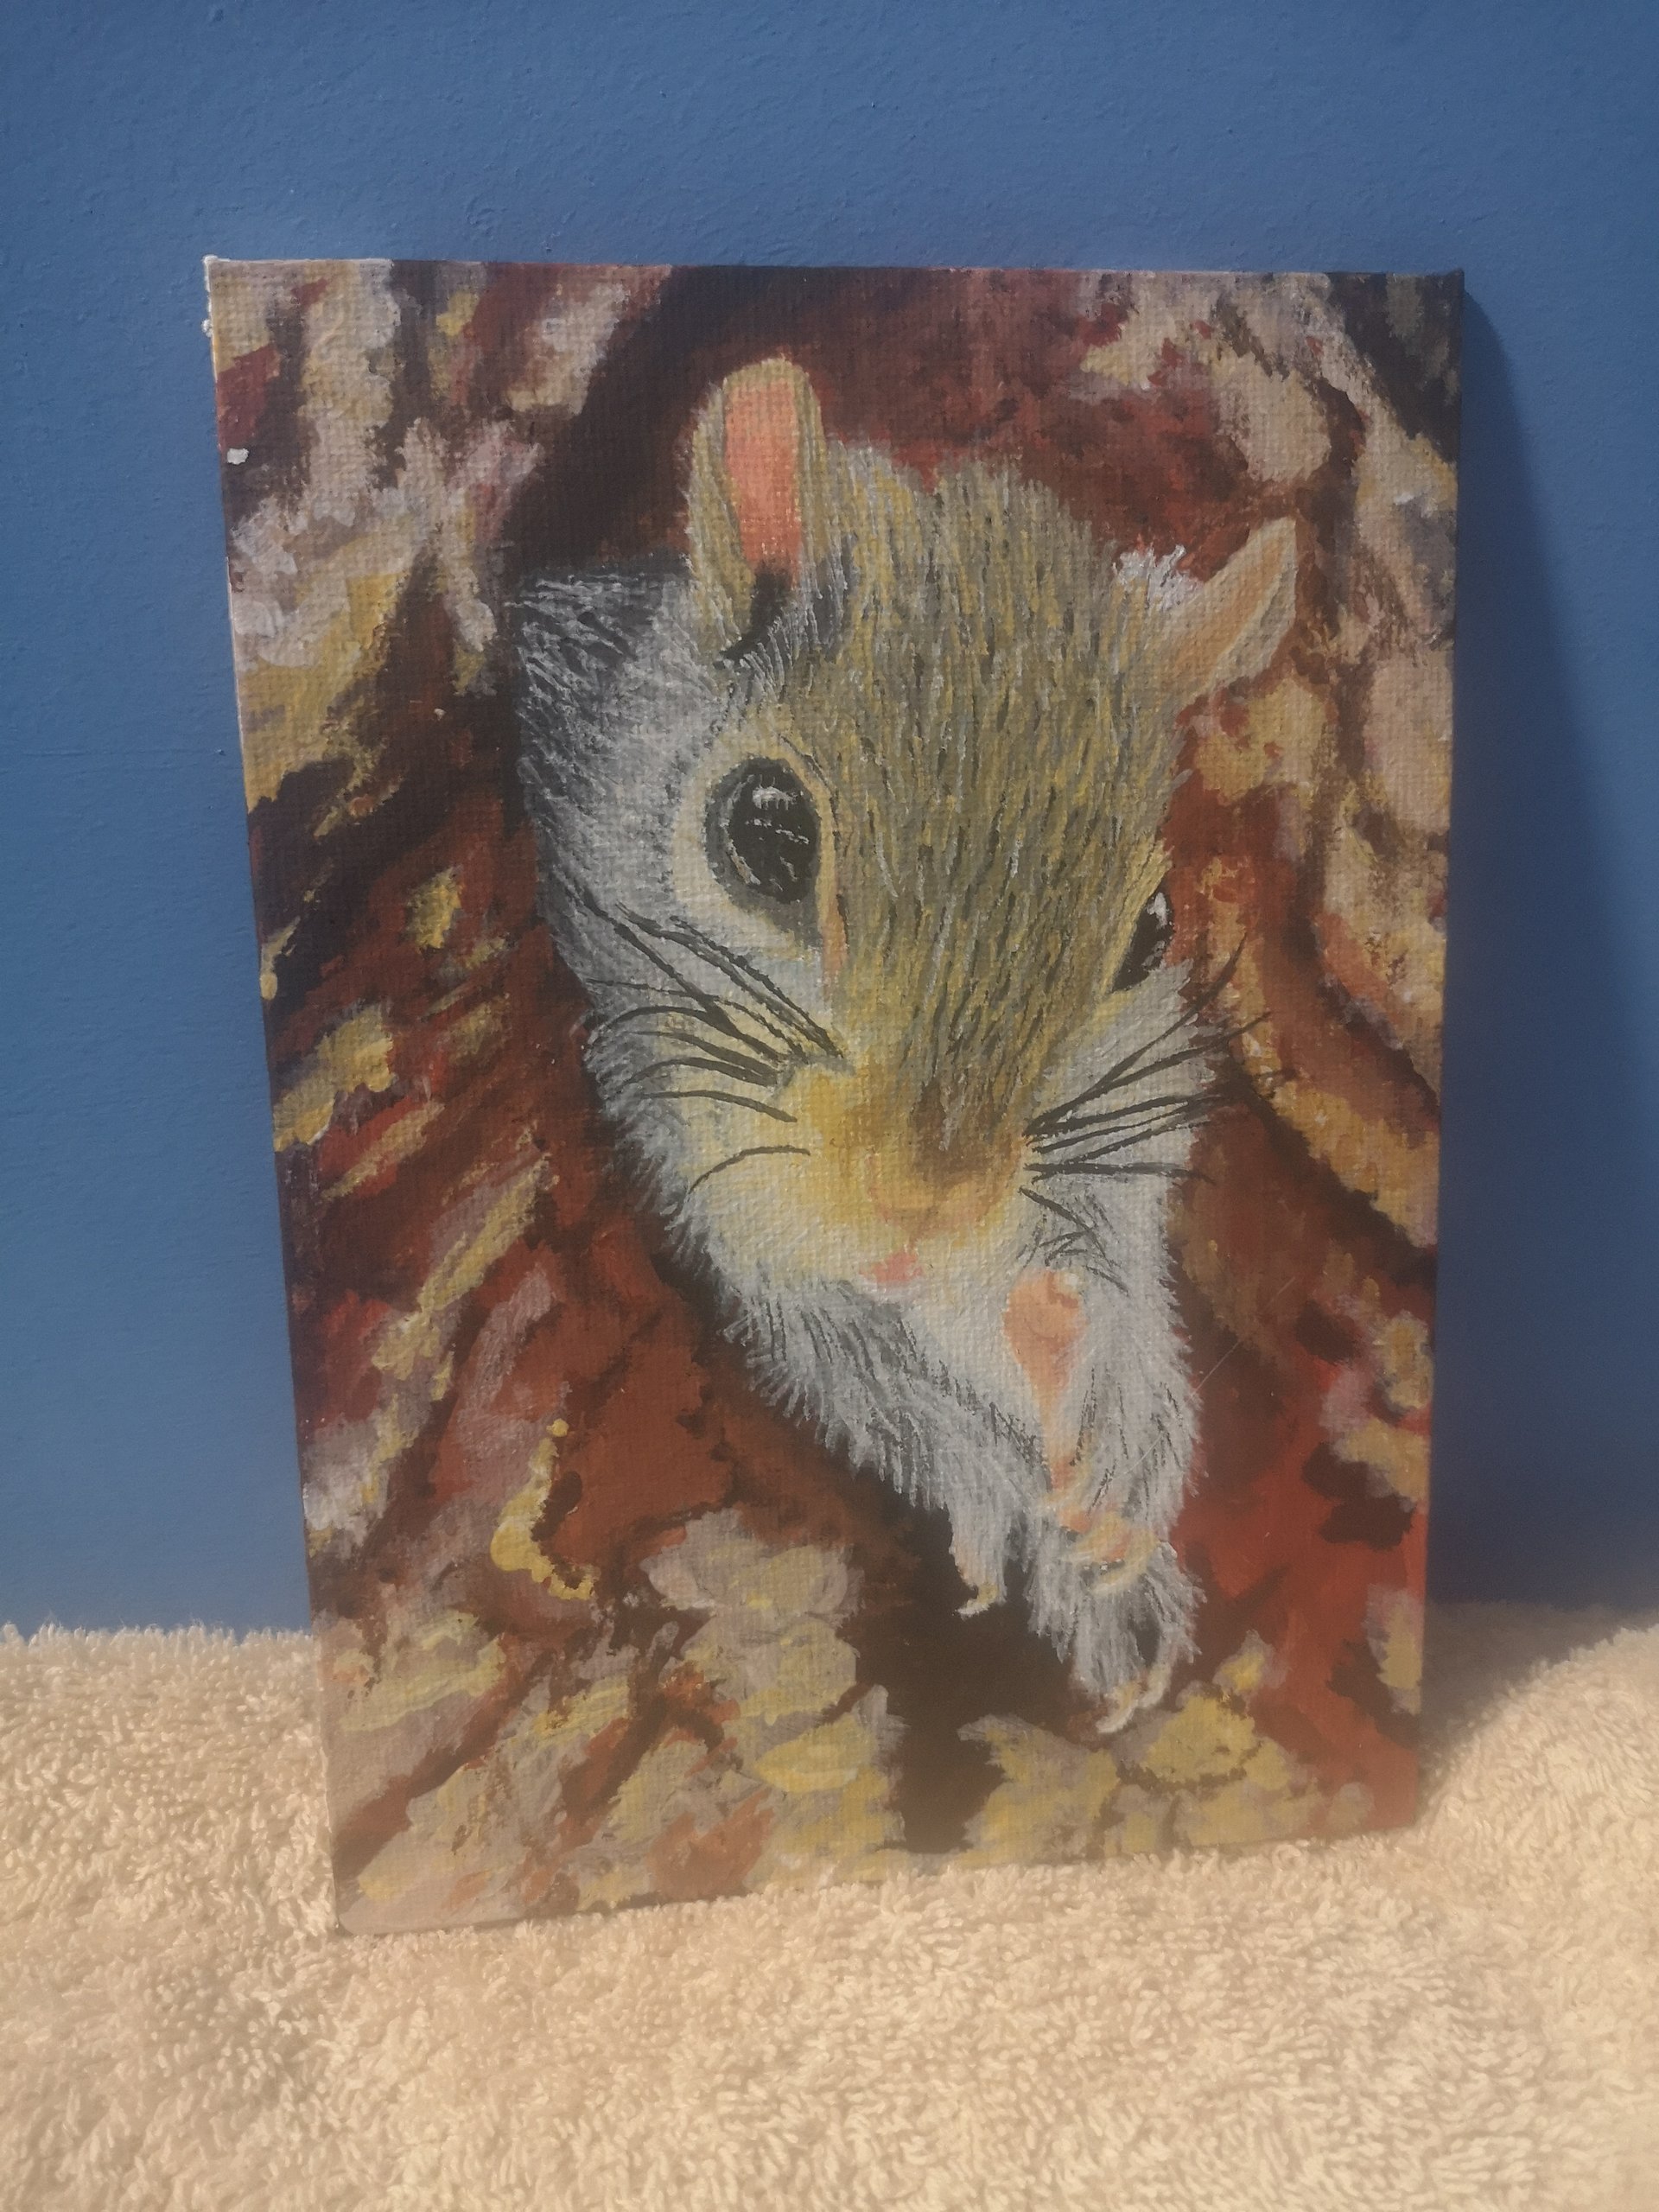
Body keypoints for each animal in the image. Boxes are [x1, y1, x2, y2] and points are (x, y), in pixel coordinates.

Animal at [517, 358, 1296, 1728]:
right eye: (764, 832)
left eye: (1152, 932)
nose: (927, 1201)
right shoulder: (703, 1172)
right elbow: (857, 1375)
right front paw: (993, 1482)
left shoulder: (1108, 1172)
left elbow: (1116, 1296)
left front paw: (1122, 1459)